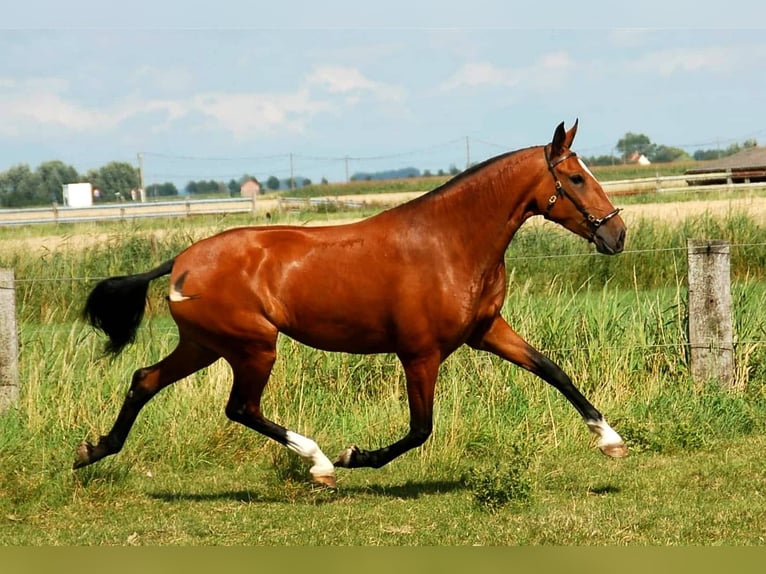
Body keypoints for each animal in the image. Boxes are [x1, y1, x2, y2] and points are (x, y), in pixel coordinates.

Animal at [75, 122, 632, 490]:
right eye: (577, 179)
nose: (618, 234)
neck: (450, 242)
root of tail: (182, 262)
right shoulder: (420, 354)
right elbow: (420, 430)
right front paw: (353, 455)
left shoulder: (486, 331)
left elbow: (553, 371)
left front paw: (610, 439)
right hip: (254, 347)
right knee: (240, 407)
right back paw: (320, 462)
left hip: (206, 345)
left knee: (145, 380)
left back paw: (93, 450)